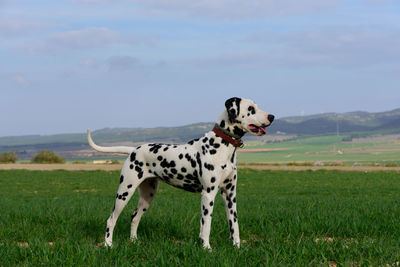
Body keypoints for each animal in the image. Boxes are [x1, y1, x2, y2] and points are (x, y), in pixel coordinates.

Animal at [87, 97, 274, 250]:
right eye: (251, 108)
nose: (272, 116)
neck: (223, 147)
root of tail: (133, 150)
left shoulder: (230, 194)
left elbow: (234, 225)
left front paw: (237, 246)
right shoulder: (208, 194)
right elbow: (206, 225)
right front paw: (206, 248)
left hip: (147, 195)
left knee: (134, 217)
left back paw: (134, 241)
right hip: (125, 191)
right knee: (111, 219)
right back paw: (108, 245)